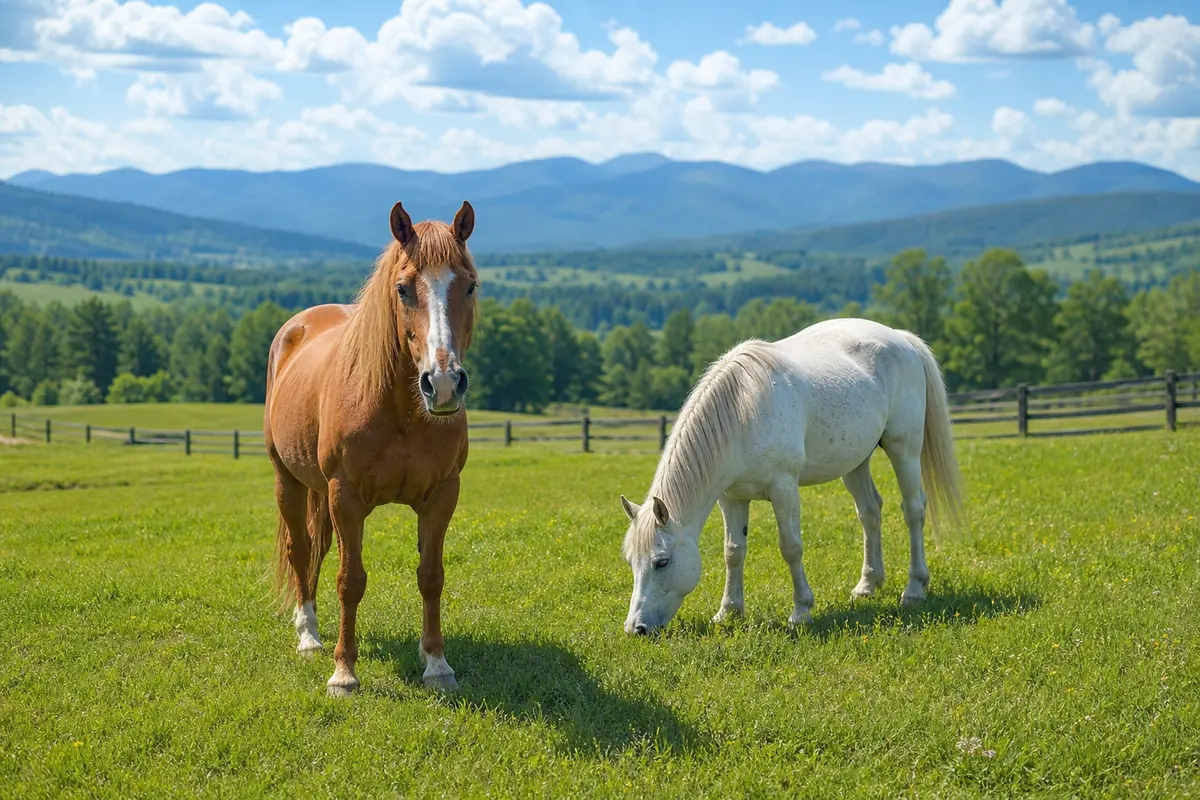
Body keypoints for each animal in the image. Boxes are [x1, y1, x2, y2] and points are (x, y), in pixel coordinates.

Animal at [264, 200, 479, 696]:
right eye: (402, 289)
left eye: (470, 285)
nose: (443, 384)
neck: (399, 411)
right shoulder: (345, 497)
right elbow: (351, 580)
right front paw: (344, 673)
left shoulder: (442, 496)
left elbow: (431, 577)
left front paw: (437, 664)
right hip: (289, 481)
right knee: (301, 550)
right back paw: (308, 633)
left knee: (317, 547)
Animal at [617, 317, 964, 635]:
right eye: (631, 562)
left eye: (662, 561)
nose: (637, 628)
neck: (742, 413)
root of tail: (902, 338)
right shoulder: (731, 498)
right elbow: (734, 551)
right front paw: (728, 612)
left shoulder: (783, 488)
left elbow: (791, 547)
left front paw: (801, 612)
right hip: (855, 462)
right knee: (869, 512)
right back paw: (868, 585)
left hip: (903, 448)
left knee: (913, 510)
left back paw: (914, 589)